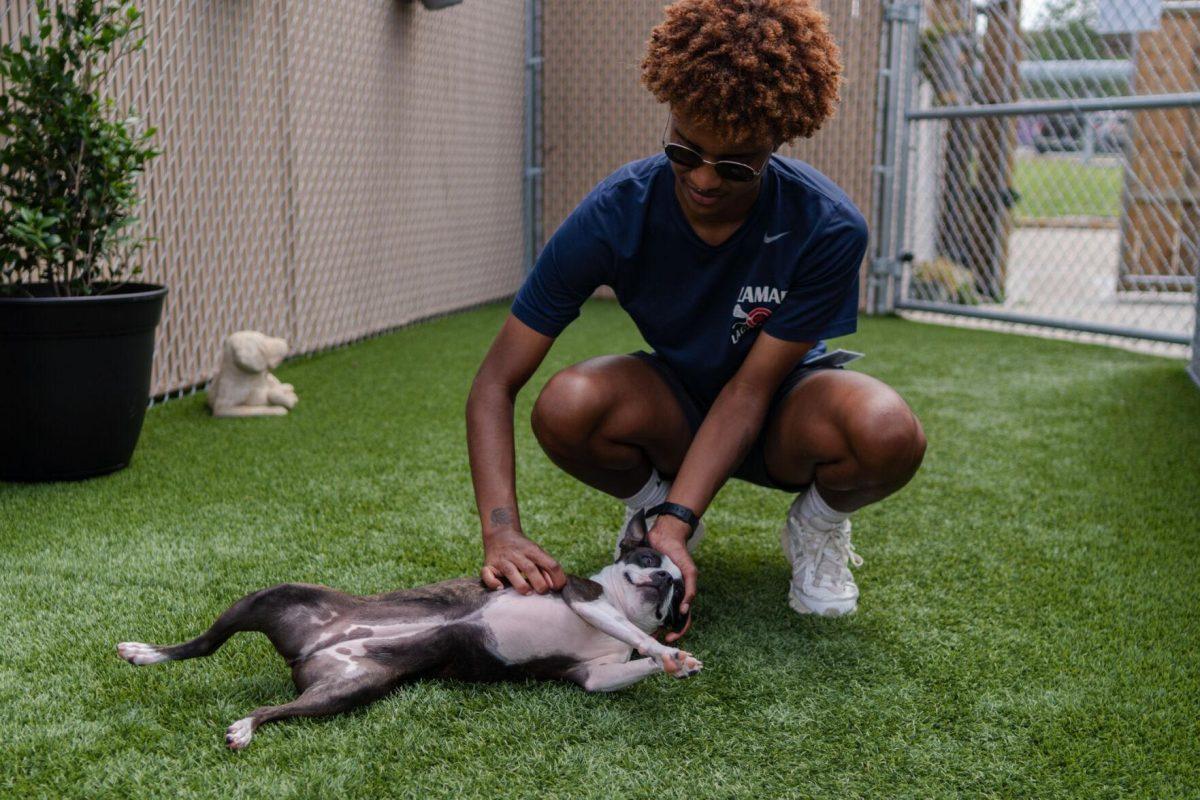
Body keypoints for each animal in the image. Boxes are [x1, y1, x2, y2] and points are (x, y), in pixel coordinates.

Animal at [117, 513, 700, 753]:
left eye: (677, 599)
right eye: (647, 559)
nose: (666, 582)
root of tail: (310, 650)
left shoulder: (595, 677)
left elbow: (630, 664)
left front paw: (674, 663)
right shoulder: (583, 599)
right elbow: (631, 630)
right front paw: (663, 653)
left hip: (344, 689)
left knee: (271, 706)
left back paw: (241, 722)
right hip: (269, 597)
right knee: (201, 646)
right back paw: (145, 653)